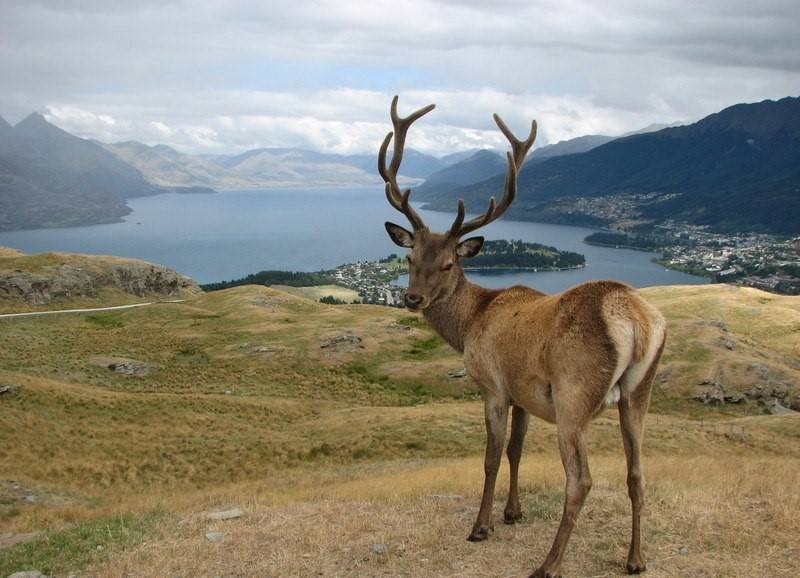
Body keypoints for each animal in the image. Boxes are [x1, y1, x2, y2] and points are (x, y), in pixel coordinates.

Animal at [378, 95, 664, 576]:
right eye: (410, 257)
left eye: (449, 263)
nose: (413, 298)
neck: (470, 322)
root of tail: (636, 321)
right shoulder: (523, 395)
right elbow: (516, 450)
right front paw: (513, 512)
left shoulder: (493, 385)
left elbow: (492, 457)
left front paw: (482, 526)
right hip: (639, 392)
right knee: (638, 473)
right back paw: (636, 559)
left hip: (574, 395)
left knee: (581, 480)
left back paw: (548, 564)